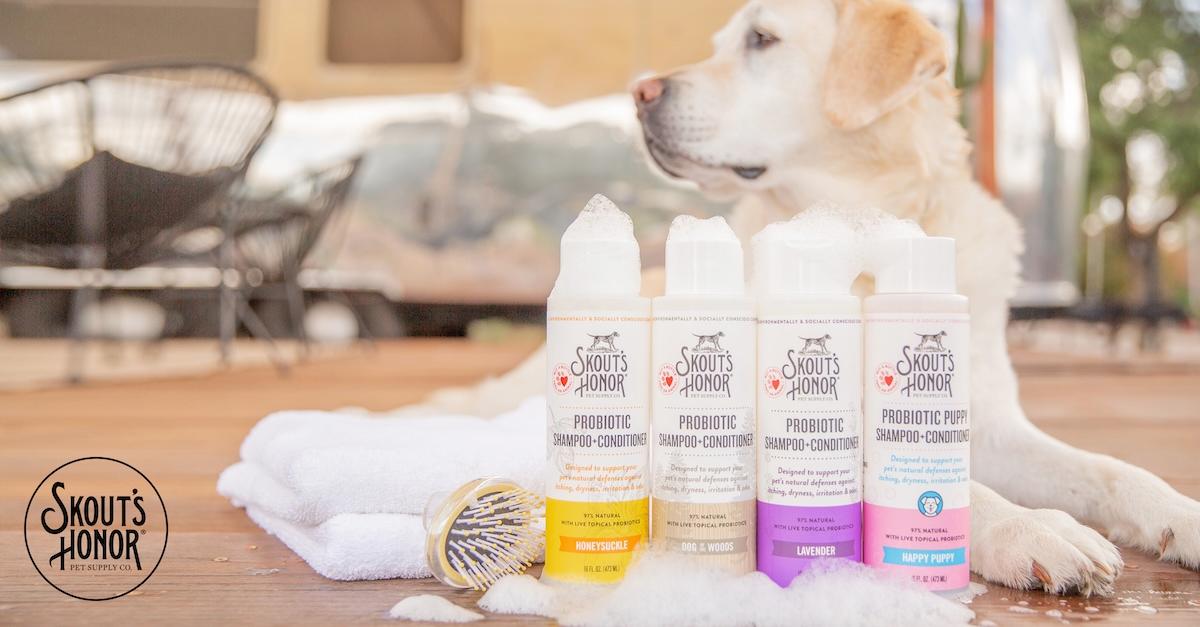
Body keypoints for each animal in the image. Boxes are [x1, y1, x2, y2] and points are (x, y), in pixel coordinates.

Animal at [420, 0, 1190, 593]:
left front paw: (1182, 512)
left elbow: (1110, 469)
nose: (639, 92)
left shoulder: (989, 423)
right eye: (720, 44)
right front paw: (1032, 527)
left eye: (762, 39)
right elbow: (964, 489)